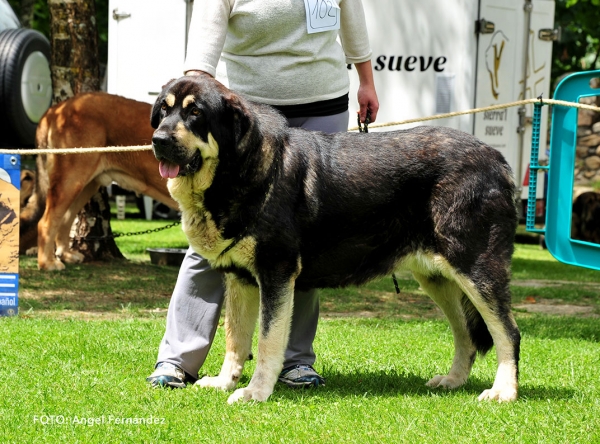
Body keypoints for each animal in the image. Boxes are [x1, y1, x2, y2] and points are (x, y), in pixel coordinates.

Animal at [24, 92, 178, 268]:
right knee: (46, 222)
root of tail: (56, 109)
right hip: (69, 181)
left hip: (84, 186)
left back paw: (67, 255)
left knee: (65, 219)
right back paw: (47, 263)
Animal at [151, 75, 520, 402]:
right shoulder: (240, 279)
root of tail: (498, 161)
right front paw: (225, 382)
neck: (236, 170)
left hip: (476, 269)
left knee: (508, 332)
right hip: (438, 278)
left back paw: (504, 391)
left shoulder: (276, 273)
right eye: (164, 110)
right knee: (466, 334)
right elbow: (235, 340)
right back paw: (454, 380)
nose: (158, 139)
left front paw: (255, 392)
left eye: (196, 112)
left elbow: (268, 341)